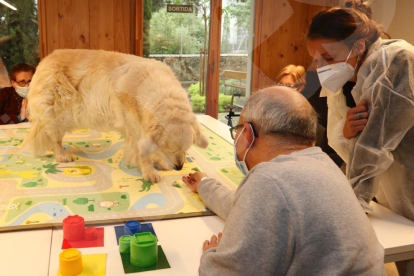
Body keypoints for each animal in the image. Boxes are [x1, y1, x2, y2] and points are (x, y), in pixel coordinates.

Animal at [24, 49, 209, 183]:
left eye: (186, 149)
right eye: (170, 149)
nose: (179, 167)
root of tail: (44, 61)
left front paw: (159, 162)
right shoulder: (136, 129)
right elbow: (144, 154)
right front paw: (149, 172)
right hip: (58, 114)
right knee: (54, 138)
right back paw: (61, 155)